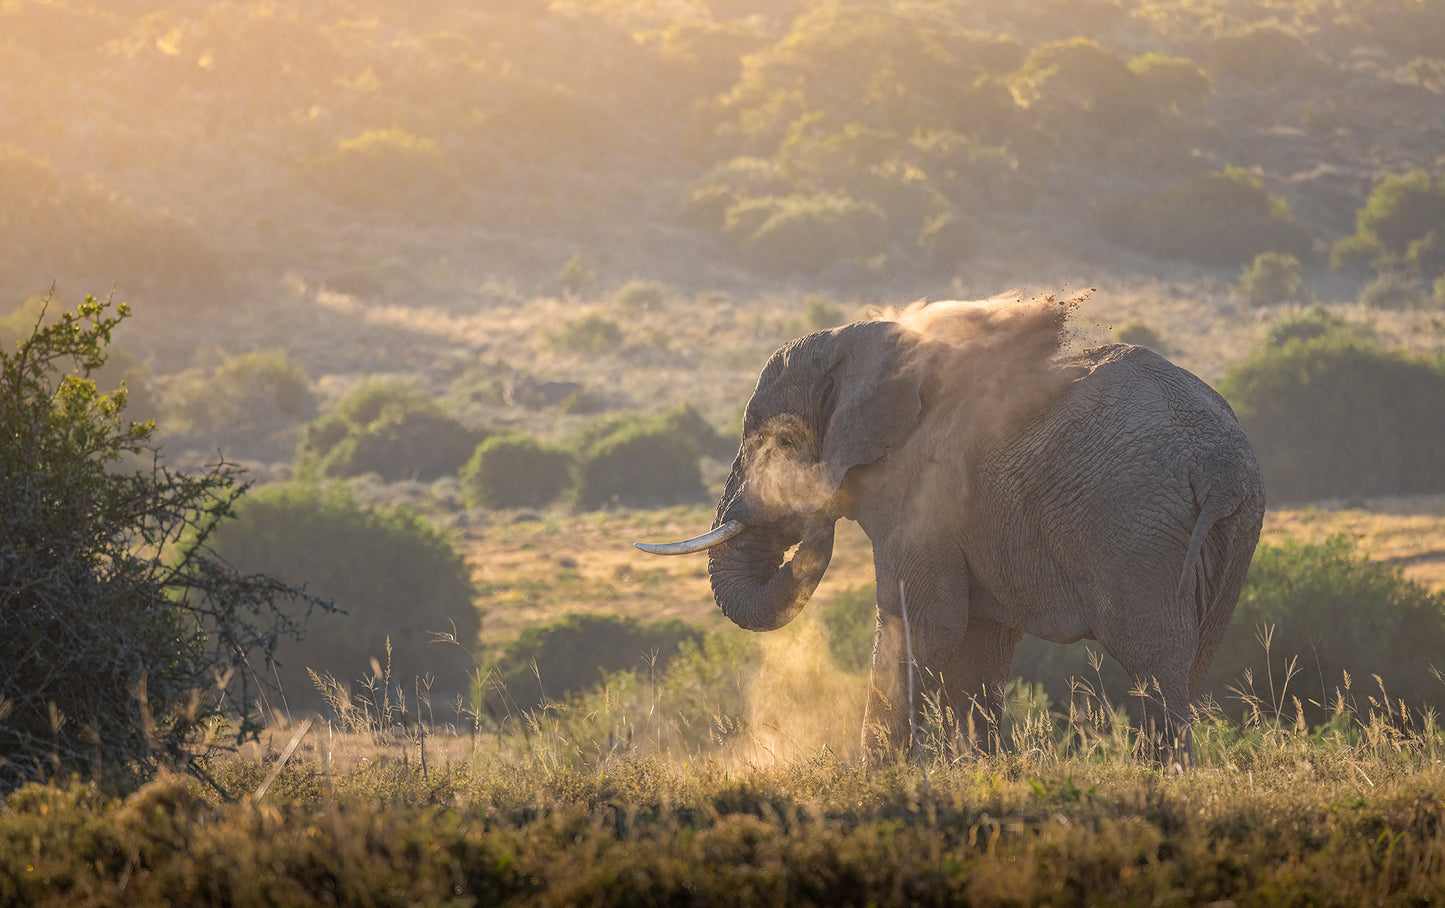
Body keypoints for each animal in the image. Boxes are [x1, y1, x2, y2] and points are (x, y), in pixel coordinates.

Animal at [644, 297, 1265, 763]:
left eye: (771, 440)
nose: (811, 515)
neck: (871, 344)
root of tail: (1218, 460)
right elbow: (982, 641)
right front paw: (982, 771)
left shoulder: (924, 493)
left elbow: (924, 623)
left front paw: (876, 777)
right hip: (1231, 528)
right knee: (1193, 659)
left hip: (1133, 525)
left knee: (1153, 660)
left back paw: (1159, 775)